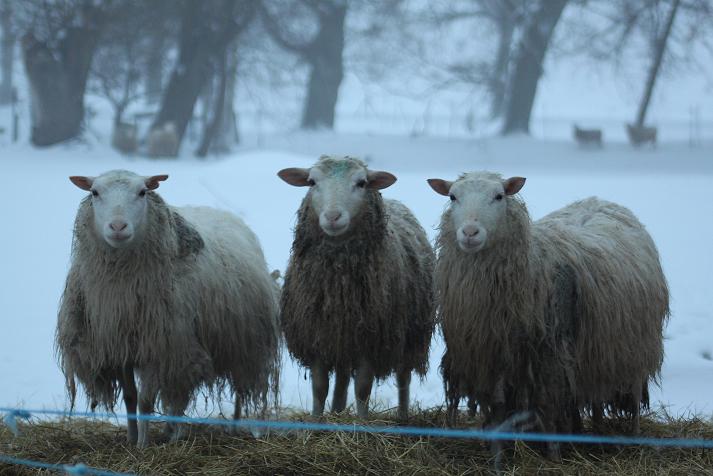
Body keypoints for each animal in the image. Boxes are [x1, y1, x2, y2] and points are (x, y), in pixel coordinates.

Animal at [57, 170, 280, 446]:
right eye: (95, 193)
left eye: (142, 192)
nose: (118, 227)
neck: (122, 287)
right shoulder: (119, 346)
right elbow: (130, 398)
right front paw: (131, 439)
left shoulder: (160, 347)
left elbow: (145, 401)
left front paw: (143, 445)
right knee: (178, 393)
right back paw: (172, 432)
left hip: (238, 341)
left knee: (234, 389)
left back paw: (227, 428)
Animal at [276, 157, 434, 420]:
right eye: (312, 182)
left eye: (361, 183)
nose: (332, 216)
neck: (339, 283)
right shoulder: (318, 336)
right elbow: (319, 387)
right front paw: (316, 421)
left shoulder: (371, 339)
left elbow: (362, 387)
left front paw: (361, 422)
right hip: (343, 341)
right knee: (341, 380)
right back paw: (337, 410)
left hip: (410, 335)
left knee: (403, 379)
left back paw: (402, 417)